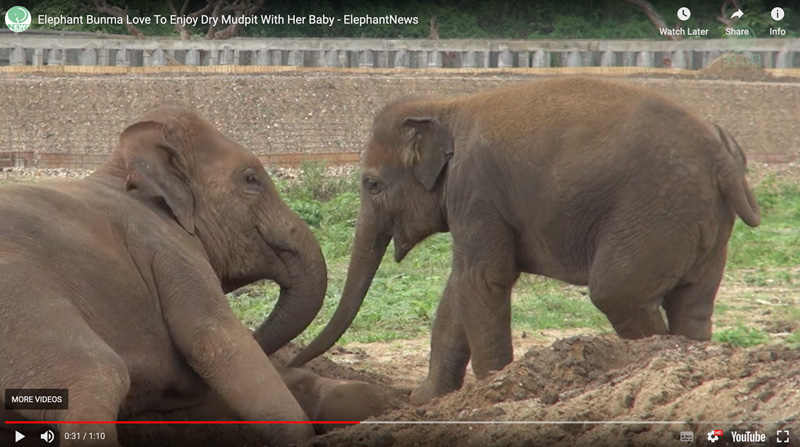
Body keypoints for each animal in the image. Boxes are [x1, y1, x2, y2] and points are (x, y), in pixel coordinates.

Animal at [0, 107, 326, 446]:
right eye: (251, 179)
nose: (291, 359)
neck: (122, 171)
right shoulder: (169, 249)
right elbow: (216, 340)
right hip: (20, 306)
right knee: (99, 374)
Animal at [292, 77, 764, 406]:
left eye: (371, 185)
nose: (294, 363)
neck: (445, 105)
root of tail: (720, 154)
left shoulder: (475, 191)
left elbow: (483, 278)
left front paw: (492, 393)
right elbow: (458, 288)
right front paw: (425, 400)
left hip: (655, 212)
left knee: (618, 293)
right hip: (704, 224)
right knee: (692, 301)